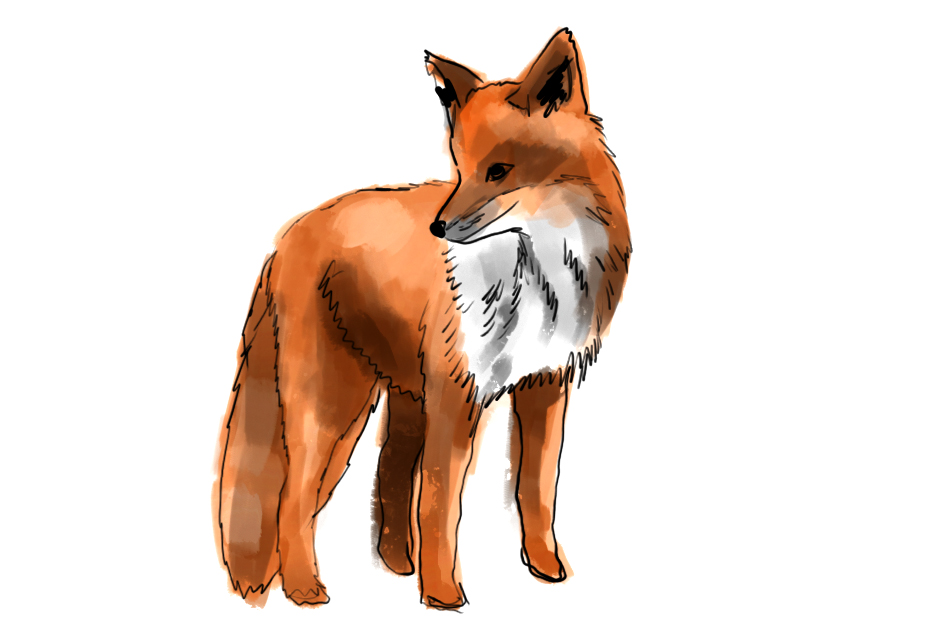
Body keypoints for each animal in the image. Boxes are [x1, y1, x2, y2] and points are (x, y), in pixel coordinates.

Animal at [213, 27, 631, 610]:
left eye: (498, 171)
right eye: (459, 167)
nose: (439, 228)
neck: (534, 273)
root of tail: (287, 237)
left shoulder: (545, 384)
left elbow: (536, 489)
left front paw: (546, 568)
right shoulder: (459, 395)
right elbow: (439, 506)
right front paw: (444, 595)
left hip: (404, 397)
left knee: (387, 474)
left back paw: (396, 566)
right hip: (335, 403)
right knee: (294, 498)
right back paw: (305, 589)